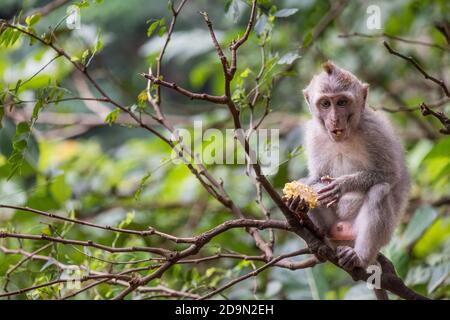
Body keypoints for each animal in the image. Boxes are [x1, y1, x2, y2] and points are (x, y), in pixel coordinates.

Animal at [286, 62, 410, 270]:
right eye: (325, 104)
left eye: (342, 102)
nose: (334, 119)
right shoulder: (314, 134)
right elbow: (315, 178)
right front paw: (298, 200)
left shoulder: (374, 130)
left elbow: (389, 174)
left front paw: (342, 185)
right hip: (333, 230)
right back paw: (316, 234)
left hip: (376, 234)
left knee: (379, 191)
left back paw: (359, 257)